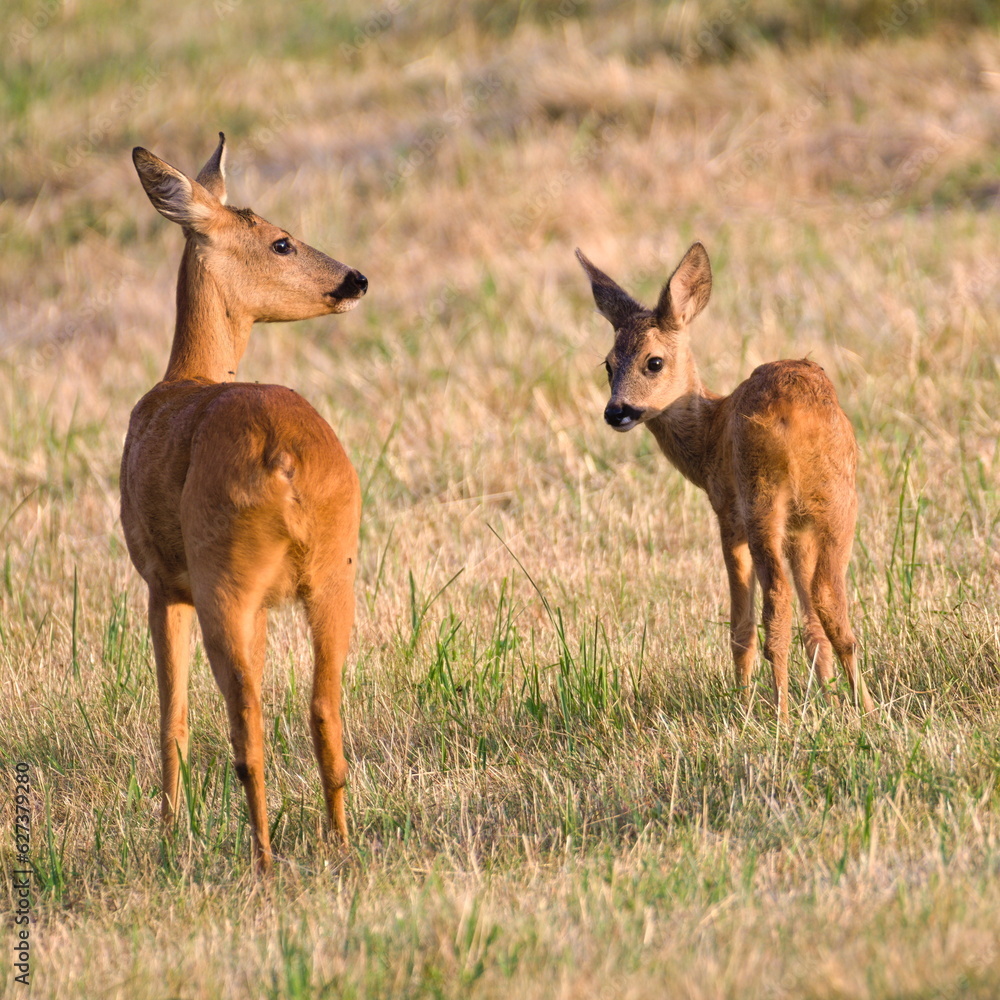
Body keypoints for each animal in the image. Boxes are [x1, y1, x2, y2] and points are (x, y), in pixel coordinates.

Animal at [121, 133, 368, 873]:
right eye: (281, 241)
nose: (355, 279)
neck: (186, 376)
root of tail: (282, 458)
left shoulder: (161, 582)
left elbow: (170, 715)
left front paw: (168, 830)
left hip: (222, 582)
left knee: (247, 726)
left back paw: (261, 858)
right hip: (335, 573)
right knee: (324, 711)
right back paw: (339, 844)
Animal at [576, 242, 874, 719]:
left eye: (653, 362)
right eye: (608, 364)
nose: (616, 411)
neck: (709, 435)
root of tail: (798, 418)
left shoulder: (726, 511)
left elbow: (741, 625)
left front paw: (743, 699)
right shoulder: (801, 529)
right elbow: (814, 623)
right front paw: (828, 697)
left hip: (761, 499)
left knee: (777, 603)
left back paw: (780, 715)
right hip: (838, 500)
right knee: (829, 600)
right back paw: (865, 707)